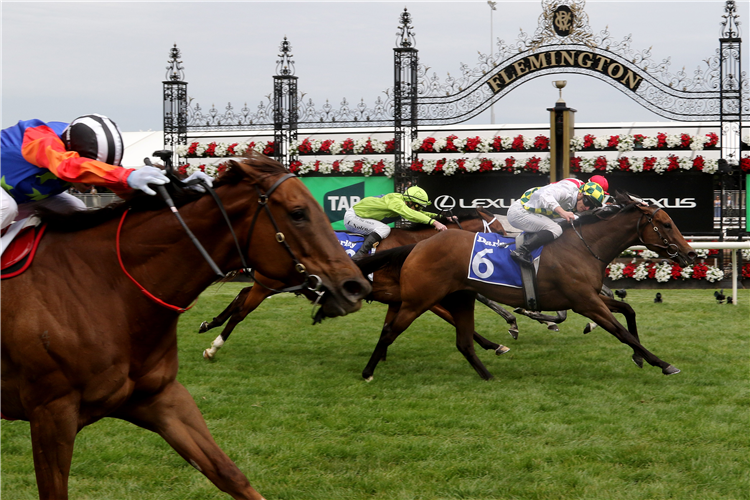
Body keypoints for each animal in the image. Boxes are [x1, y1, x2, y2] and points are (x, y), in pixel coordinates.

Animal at [0, 153, 374, 500]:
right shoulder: (52, 412)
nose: (355, 286)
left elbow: (229, 474)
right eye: (298, 213)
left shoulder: (161, 397)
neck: (105, 286)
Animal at [200, 207, 516, 360]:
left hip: (271, 283)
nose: (509, 250)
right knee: (242, 311)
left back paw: (209, 323)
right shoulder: (418, 296)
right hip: (268, 283)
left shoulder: (399, 297)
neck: (416, 245)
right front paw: (496, 343)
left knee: (241, 295)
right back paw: (213, 347)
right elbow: (453, 318)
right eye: (500, 230)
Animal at [358, 193, 700, 380]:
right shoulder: (585, 302)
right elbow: (620, 330)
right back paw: (368, 372)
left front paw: (639, 357)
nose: (691, 253)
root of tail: (418, 245)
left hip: (456, 297)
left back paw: (489, 374)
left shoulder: (588, 297)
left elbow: (628, 310)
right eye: (666, 224)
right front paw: (662, 363)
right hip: (420, 298)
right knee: (390, 331)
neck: (582, 246)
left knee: (463, 341)